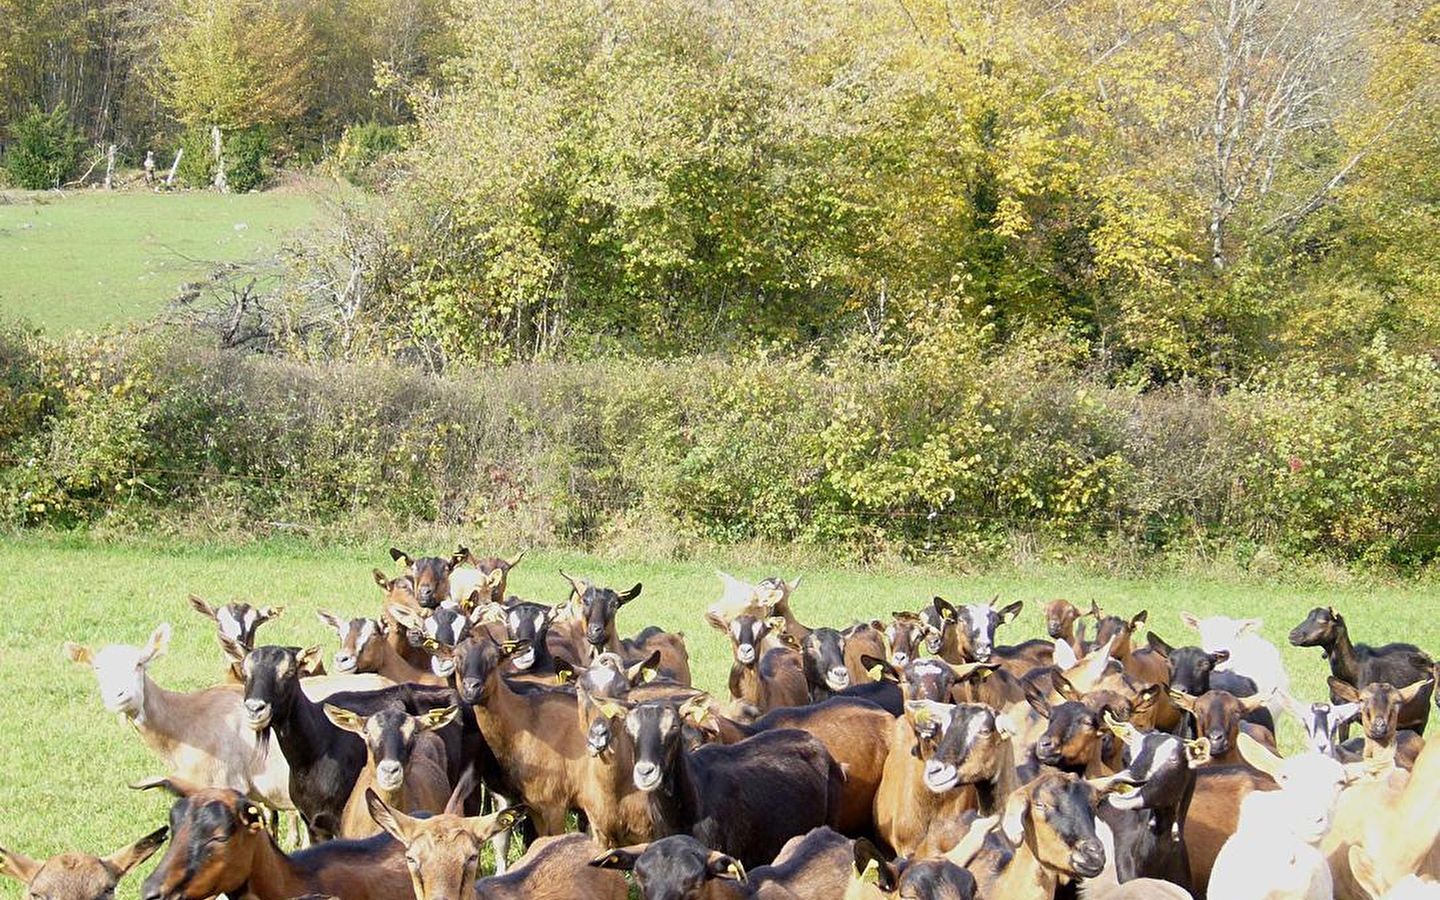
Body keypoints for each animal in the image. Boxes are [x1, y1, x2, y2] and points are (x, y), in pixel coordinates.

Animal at [1290, 607, 1434, 734]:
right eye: (1308, 617)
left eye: (1322, 621)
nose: (1292, 635)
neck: (1352, 672)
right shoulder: (1342, 715)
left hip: (1422, 715)